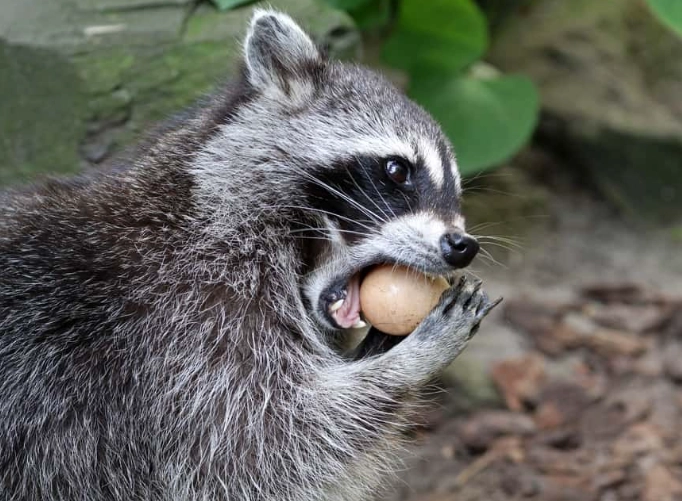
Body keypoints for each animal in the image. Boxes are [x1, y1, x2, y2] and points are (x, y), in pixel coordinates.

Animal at [0, 9, 500, 501]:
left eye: (456, 190)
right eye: (397, 170)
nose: (462, 246)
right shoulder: (181, 317)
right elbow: (261, 444)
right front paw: (406, 363)